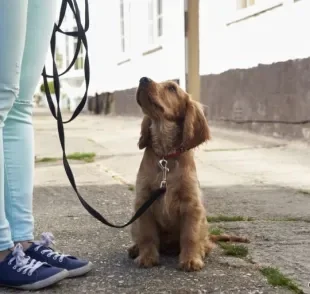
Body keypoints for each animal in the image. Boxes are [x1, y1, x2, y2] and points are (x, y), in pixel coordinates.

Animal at [128, 76, 247, 272]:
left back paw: (202, 249)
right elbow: (147, 235)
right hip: (134, 222)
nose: (143, 79)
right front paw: (146, 257)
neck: (166, 156)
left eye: (171, 88)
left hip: (204, 223)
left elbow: (190, 236)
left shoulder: (192, 205)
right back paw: (135, 248)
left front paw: (191, 260)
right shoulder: (143, 202)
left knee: (205, 241)